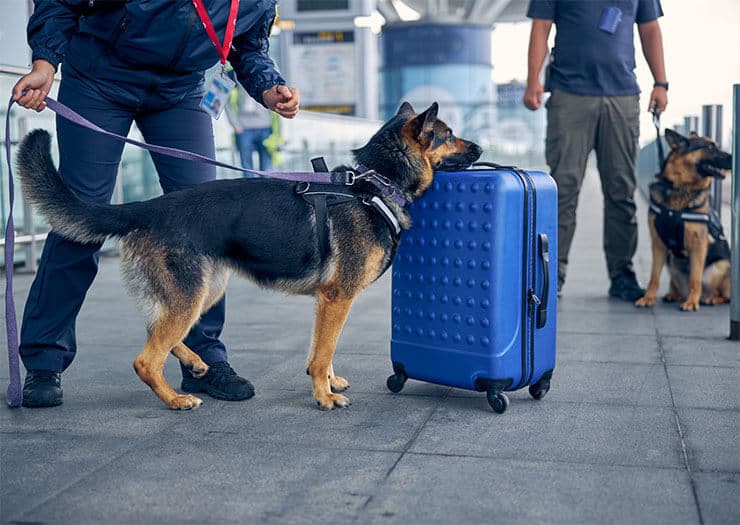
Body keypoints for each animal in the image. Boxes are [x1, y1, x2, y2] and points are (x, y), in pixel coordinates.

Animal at [17, 101, 482, 410]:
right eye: (448, 135)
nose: (479, 149)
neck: (373, 183)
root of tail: (146, 206)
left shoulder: (328, 301)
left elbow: (321, 348)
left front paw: (328, 383)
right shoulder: (338, 297)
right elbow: (324, 351)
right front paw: (323, 396)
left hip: (205, 289)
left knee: (160, 331)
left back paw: (198, 364)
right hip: (192, 294)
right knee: (145, 358)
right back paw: (175, 399)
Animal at [632, 128, 732, 312]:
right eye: (709, 147)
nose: (734, 157)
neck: (681, 187)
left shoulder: (698, 245)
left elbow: (695, 278)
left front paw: (692, 302)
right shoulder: (658, 244)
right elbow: (653, 276)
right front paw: (648, 298)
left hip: (719, 267)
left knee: (725, 296)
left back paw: (710, 298)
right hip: (671, 262)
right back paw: (674, 294)